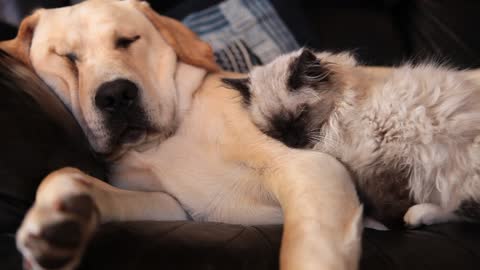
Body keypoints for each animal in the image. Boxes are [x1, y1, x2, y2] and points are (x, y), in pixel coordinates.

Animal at [0, 0, 362, 270]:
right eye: (67, 57)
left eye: (127, 40)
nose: (116, 95)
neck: (162, 144)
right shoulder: (175, 208)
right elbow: (69, 177)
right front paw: (59, 218)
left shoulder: (311, 167)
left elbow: (305, 249)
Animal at [223, 48, 480, 228]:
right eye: (273, 130)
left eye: (300, 116)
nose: (292, 142)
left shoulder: (385, 164)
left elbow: (387, 204)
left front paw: (390, 223)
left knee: (464, 209)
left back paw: (415, 216)